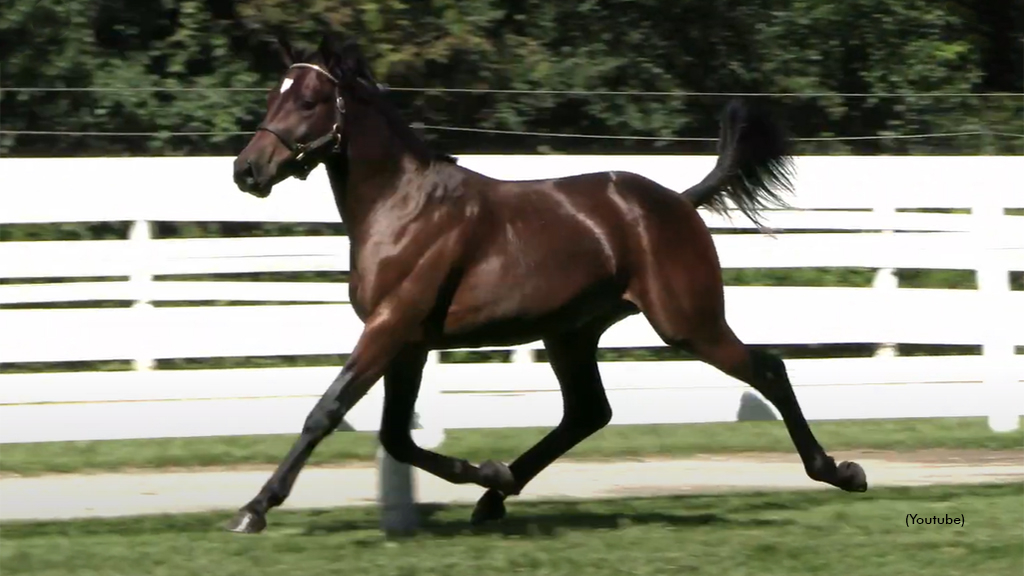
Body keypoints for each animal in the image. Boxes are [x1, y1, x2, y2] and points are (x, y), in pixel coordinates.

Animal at [228, 33, 868, 532]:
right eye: (273, 95)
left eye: (309, 100)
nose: (246, 170)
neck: (403, 207)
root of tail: (680, 203)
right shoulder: (406, 341)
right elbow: (394, 437)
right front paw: (487, 470)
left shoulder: (390, 329)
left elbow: (327, 412)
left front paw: (254, 509)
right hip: (571, 334)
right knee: (588, 413)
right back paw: (495, 495)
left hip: (688, 323)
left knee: (769, 369)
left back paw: (841, 472)